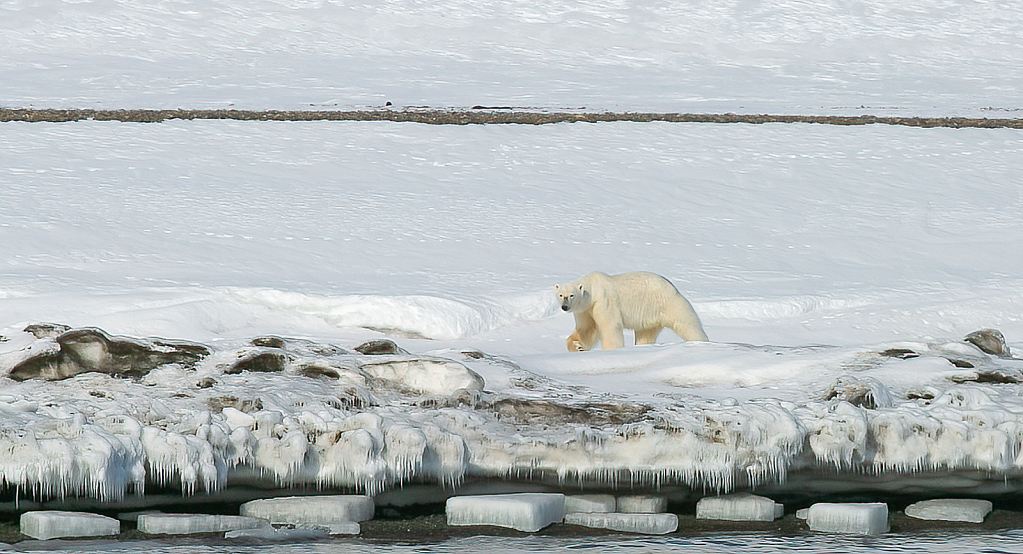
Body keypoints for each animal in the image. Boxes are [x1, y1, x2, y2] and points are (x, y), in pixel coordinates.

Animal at [556, 271, 707, 351]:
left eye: (571, 295)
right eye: (561, 295)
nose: (565, 307)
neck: (594, 289)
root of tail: (673, 288)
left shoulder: (604, 301)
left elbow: (610, 326)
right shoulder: (585, 310)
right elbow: (587, 329)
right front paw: (577, 346)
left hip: (669, 303)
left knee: (688, 324)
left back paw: (702, 342)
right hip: (649, 316)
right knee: (645, 334)